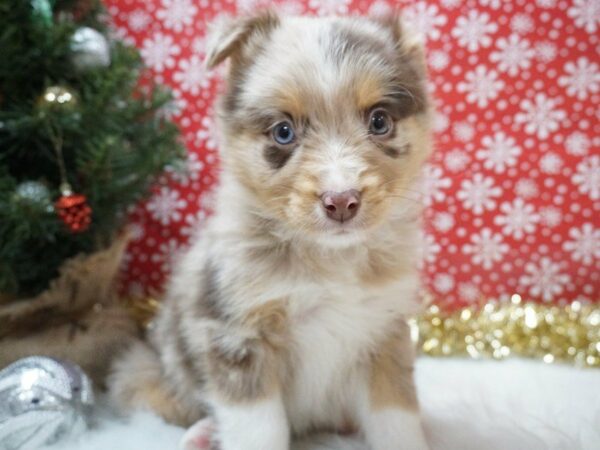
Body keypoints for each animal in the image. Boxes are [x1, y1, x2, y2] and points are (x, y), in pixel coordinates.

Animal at [111, 10, 432, 450]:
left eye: (379, 121)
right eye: (283, 131)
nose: (342, 201)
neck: (328, 257)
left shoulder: (385, 333)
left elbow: (396, 418)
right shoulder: (237, 337)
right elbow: (258, 429)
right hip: (150, 369)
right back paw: (204, 433)